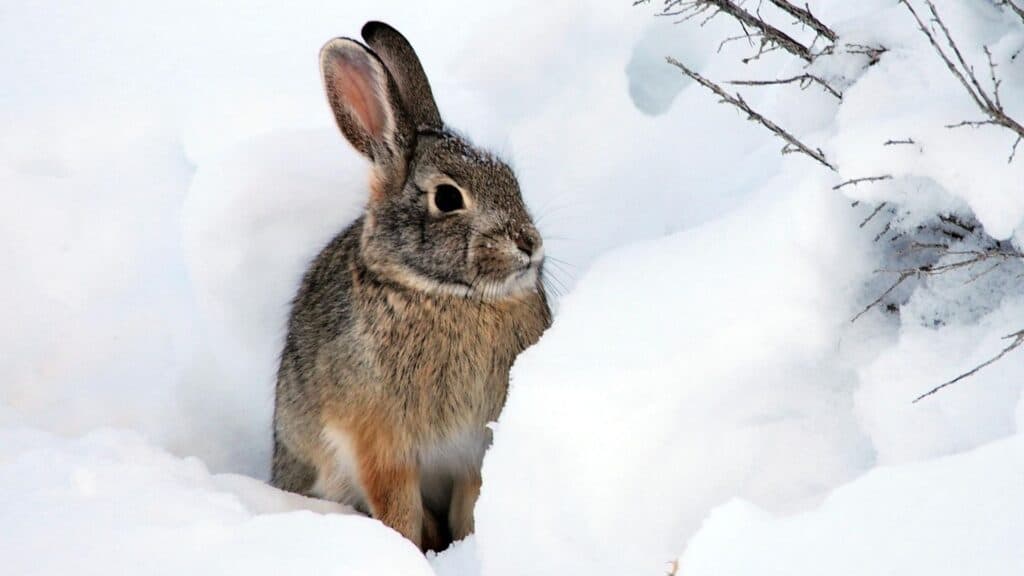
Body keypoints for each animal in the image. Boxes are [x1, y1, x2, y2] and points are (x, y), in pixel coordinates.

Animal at [268, 22, 548, 553]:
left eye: (510, 178)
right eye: (447, 198)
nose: (529, 243)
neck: (448, 295)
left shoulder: (473, 448)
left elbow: (470, 505)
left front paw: (467, 549)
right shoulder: (381, 445)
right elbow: (399, 510)